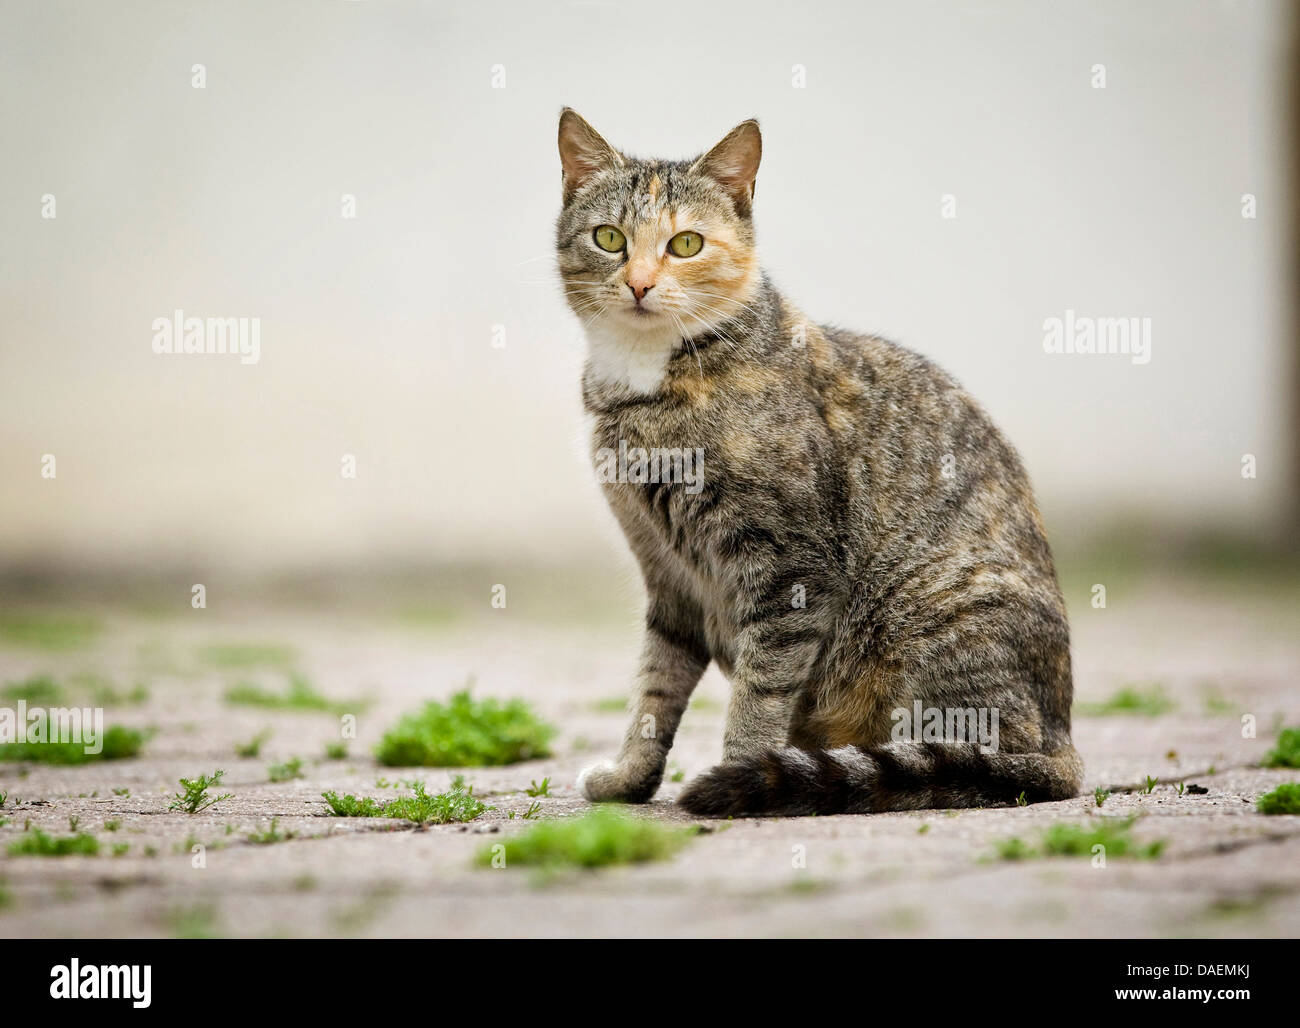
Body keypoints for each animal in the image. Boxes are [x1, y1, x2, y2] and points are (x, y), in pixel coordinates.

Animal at [553, 110, 1081, 821]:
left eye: (686, 244)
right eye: (609, 238)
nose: (638, 283)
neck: (648, 376)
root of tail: (1063, 745)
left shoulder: (790, 569)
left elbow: (758, 694)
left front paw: (738, 772)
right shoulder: (670, 582)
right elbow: (652, 693)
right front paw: (629, 779)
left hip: (938, 612)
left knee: (968, 758)